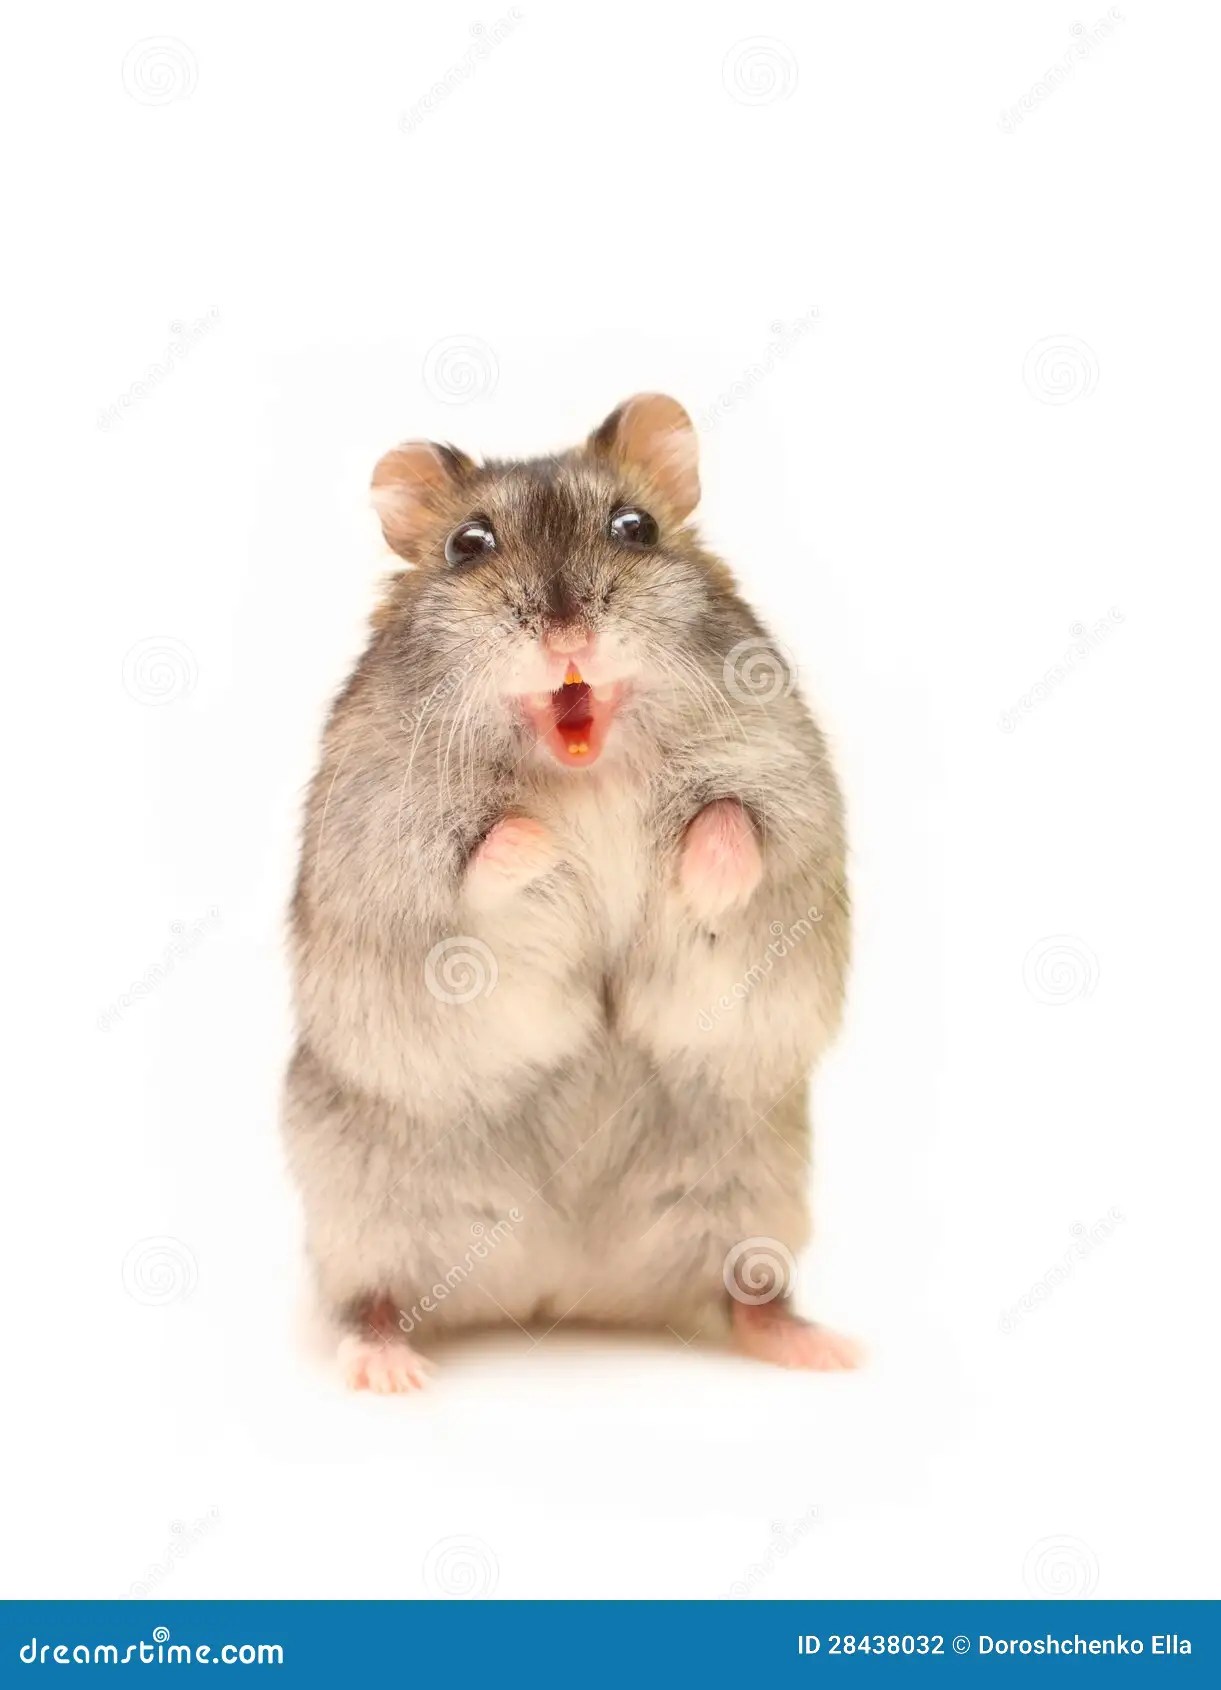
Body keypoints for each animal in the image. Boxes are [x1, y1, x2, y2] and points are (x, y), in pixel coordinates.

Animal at [283, 392, 859, 1391]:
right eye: (467, 544)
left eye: (635, 528)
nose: (566, 636)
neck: (584, 767)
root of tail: (558, 1284)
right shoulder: (389, 845)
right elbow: (483, 857)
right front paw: (551, 842)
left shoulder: (786, 805)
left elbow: (736, 828)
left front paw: (699, 854)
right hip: (362, 1205)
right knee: (371, 1299)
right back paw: (388, 1369)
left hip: (750, 1190)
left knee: (748, 1294)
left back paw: (821, 1348)